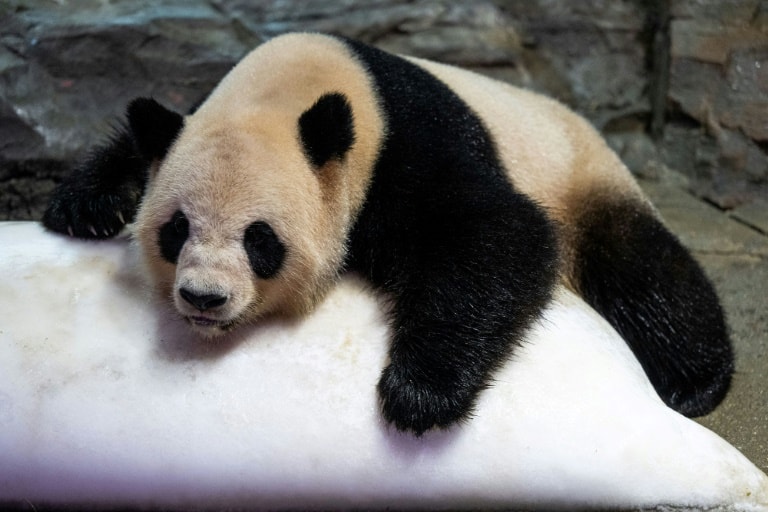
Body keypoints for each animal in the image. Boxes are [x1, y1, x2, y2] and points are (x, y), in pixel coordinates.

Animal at [42, 31, 732, 436]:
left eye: (259, 240)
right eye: (176, 229)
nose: (204, 298)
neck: (289, 91)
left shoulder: (405, 145)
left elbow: (497, 233)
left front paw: (419, 394)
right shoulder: (205, 109)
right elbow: (142, 140)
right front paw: (83, 205)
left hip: (578, 173)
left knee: (644, 270)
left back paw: (694, 381)